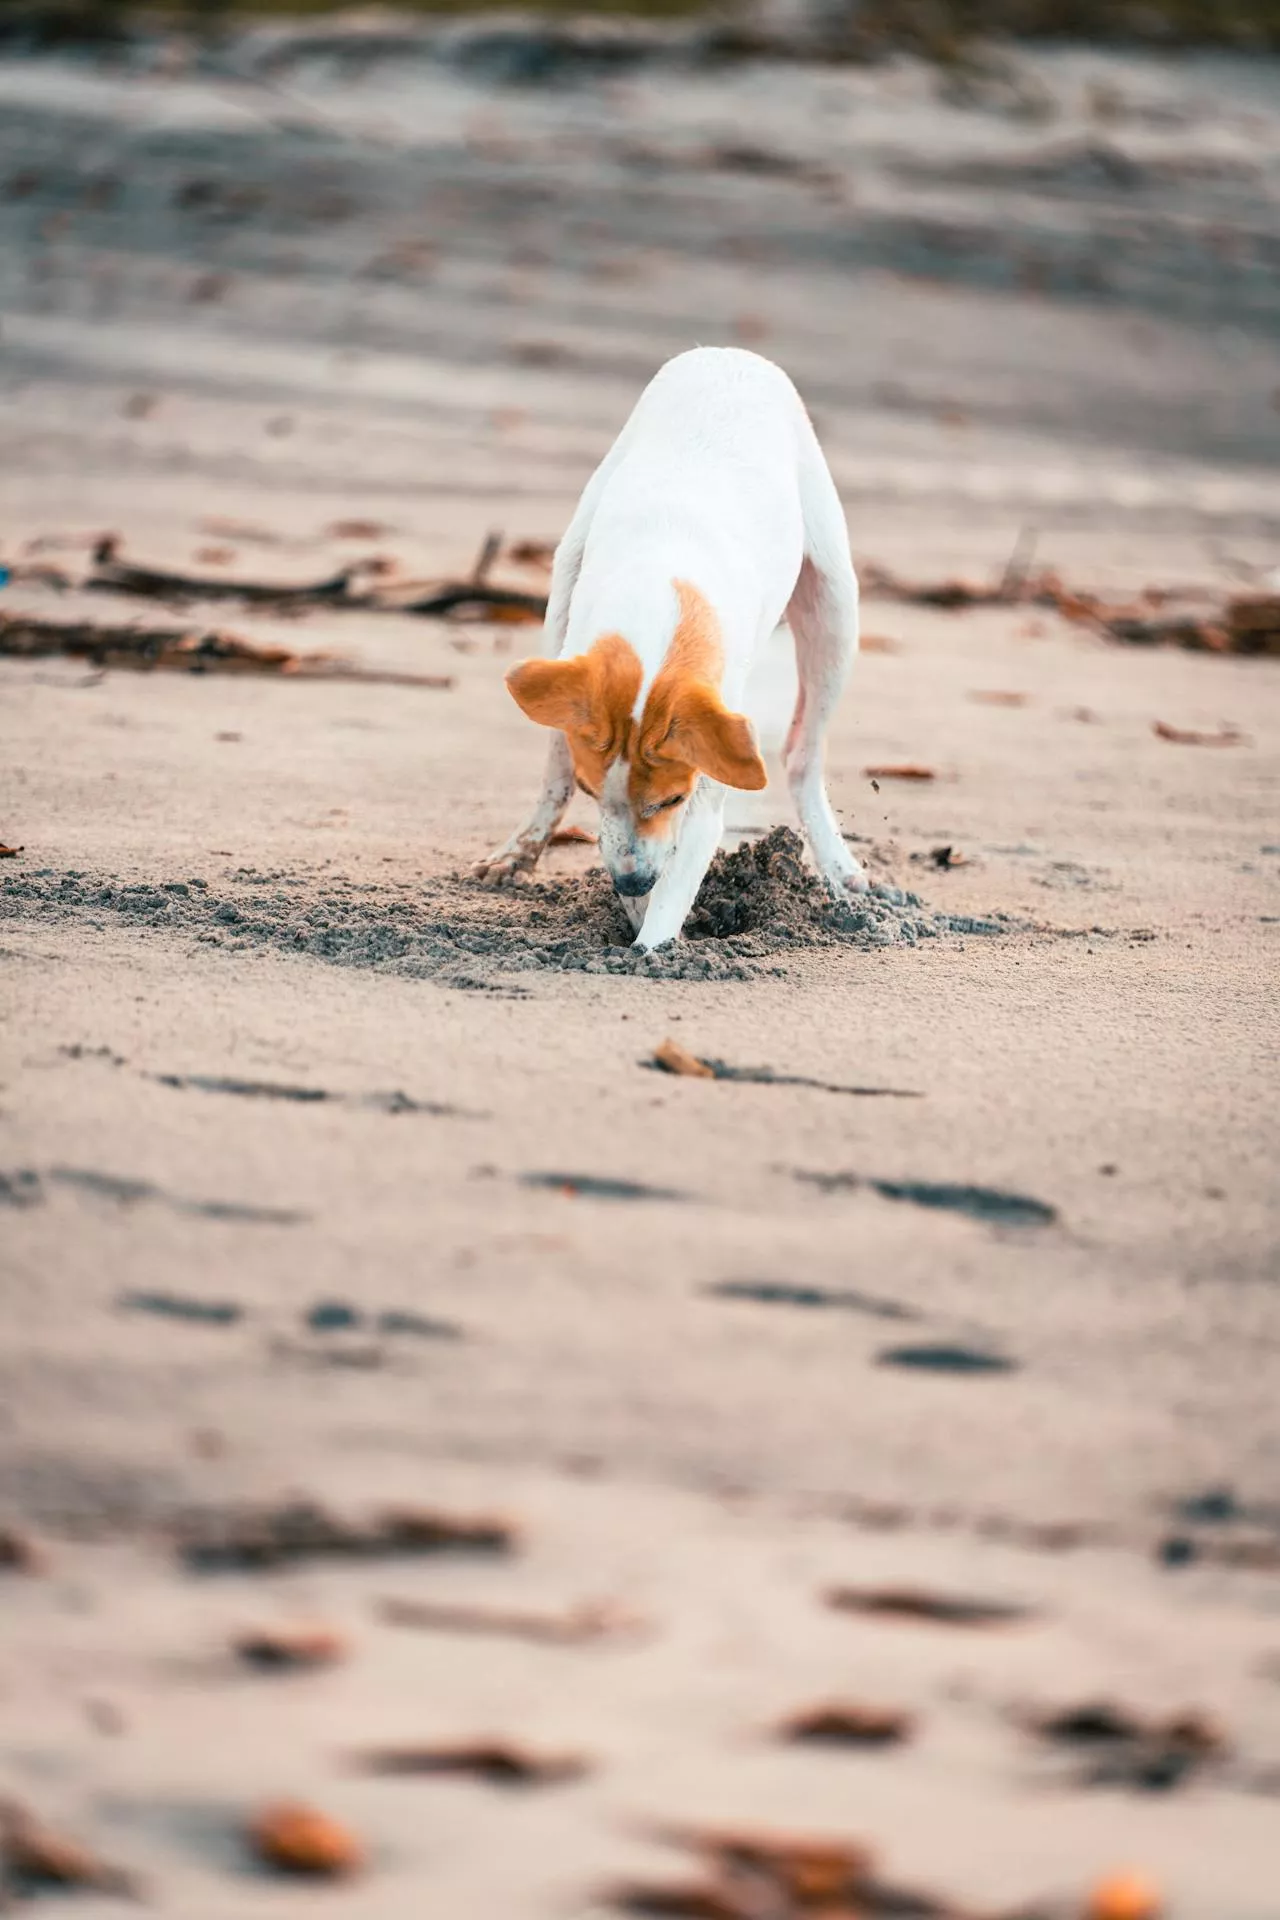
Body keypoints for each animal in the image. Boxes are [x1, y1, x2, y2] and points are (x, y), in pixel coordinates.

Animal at [475, 347, 867, 952]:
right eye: (593, 793)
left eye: (671, 800)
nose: (631, 880)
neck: (657, 602)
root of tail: (731, 353)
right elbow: (575, 785)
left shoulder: (707, 778)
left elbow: (676, 880)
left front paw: (649, 948)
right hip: (564, 584)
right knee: (553, 762)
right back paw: (520, 851)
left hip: (835, 610)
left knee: (804, 757)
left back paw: (838, 868)